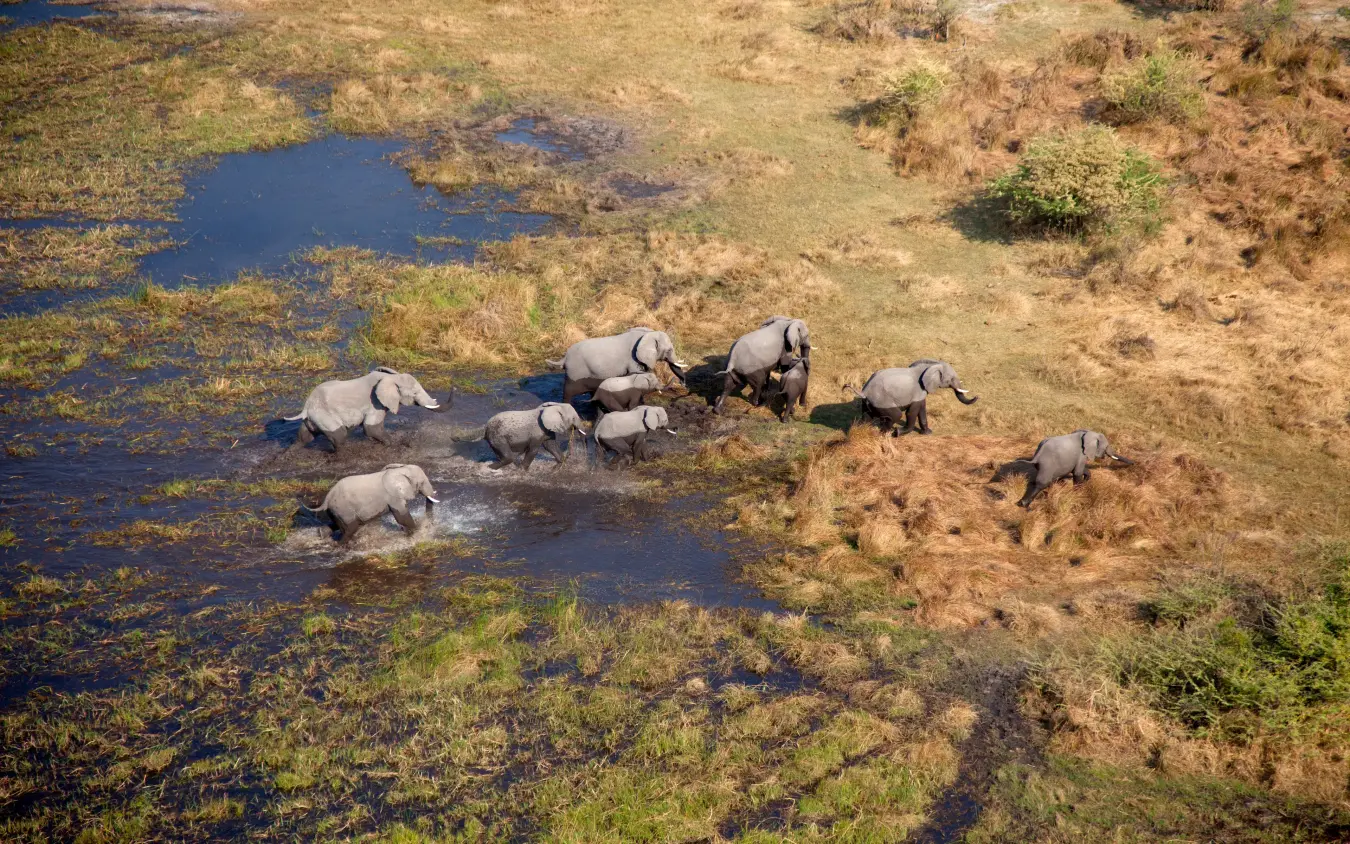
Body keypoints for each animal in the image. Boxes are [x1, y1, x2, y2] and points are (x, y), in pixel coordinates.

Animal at [284, 367, 448, 454]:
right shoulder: (375, 403)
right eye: (414, 393)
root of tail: (306, 406)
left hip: (314, 418)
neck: (391, 378)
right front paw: (394, 445)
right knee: (339, 436)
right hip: (324, 415)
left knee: (305, 437)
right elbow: (371, 429)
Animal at [300, 463, 438, 545]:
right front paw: (417, 533)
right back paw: (343, 544)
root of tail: (327, 499)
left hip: (336, 510)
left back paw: (322, 534)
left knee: (339, 524)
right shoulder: (393, 496)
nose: (428, 527)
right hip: (344, 509)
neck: (400, 470)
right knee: (351, 528)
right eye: (421, 483)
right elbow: (402, 517)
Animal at [546, 327, 687, 404]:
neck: (648, 334)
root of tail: (564, 358)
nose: (683, 383)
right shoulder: (633, 359)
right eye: (669, 350)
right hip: (575, 372)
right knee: (568, 392)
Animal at [848, 359, 977, 435]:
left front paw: (928, 433)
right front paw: (898, 432)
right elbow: (912, 412)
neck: (932, 364)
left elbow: (922, 409)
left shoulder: (921, 392)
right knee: (896, 415)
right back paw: (886, 434)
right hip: (882, 400)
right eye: (950, 379)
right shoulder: (916, 391)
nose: (977, 396)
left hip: (867, 403)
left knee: (866, 417)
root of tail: (864, 391)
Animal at [1000, 430, 1135, 508]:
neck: (1088, 432)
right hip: (1048, 464)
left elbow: (1081, 470)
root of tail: (1037, 454)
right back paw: (1023, 504)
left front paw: (1085, 481)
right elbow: (1077, 472)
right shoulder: (1082, 453)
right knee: (1042, 482)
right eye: (1106, 446)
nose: (1134, 463)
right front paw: (1077, 494)